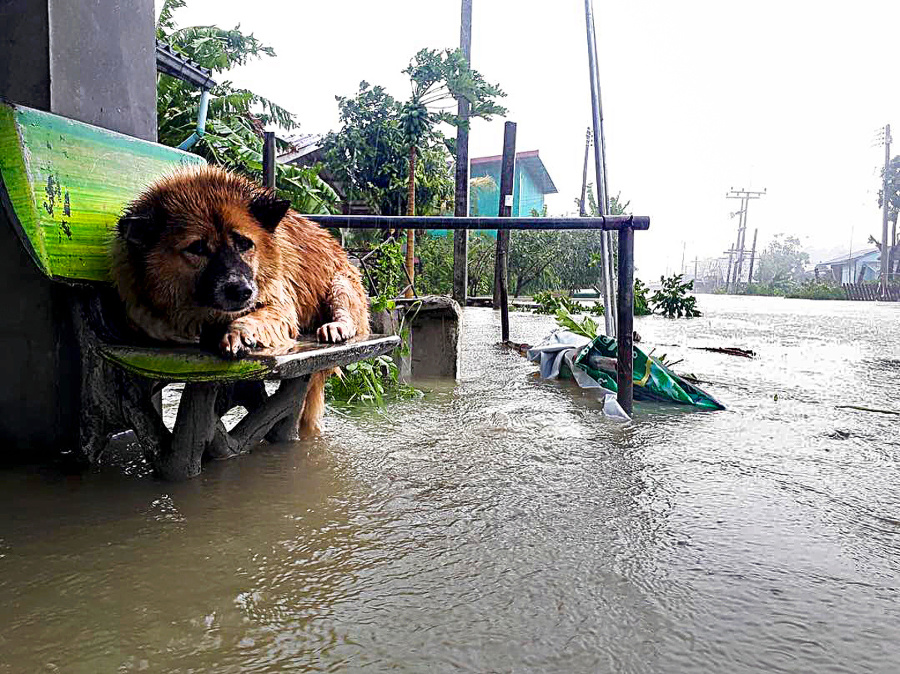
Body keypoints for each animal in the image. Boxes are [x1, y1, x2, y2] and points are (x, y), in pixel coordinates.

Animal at [111, 165, 370, 434]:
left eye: (244, 243)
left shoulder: (278, 304)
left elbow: (256, 316)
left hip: (341, 285)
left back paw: (337, 327)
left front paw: (238, 333)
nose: (241, 290)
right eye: (197, 248)